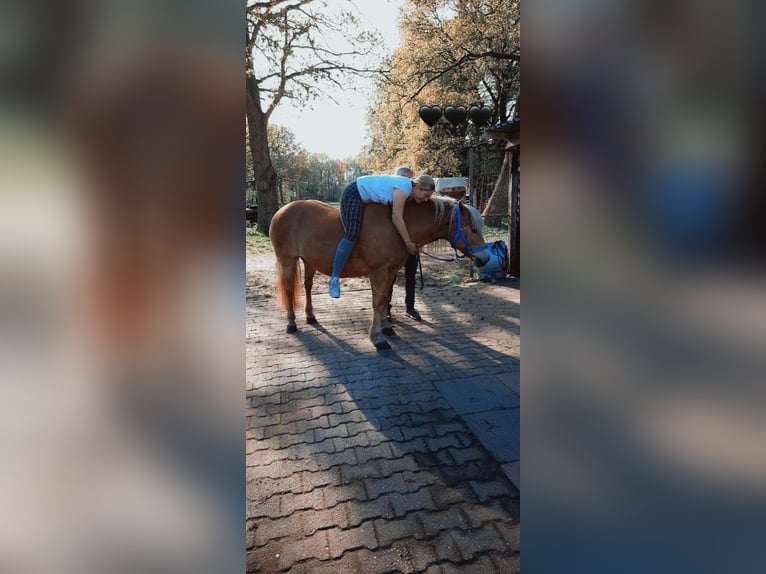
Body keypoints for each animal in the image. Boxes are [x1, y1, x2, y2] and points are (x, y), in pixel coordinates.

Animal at [270, 198, 492, 352]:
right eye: (473, 229)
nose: (485, 259)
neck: (397, 225)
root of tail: (281, 211)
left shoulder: (391, 270)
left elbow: (385, 298)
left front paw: (387, 327)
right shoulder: (379, 271)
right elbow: (377, 302)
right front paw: (378, 338)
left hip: (308, 262)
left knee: (307, 286)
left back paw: (310, 316)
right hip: (287, 260)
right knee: (289, 290)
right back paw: (291, 323)